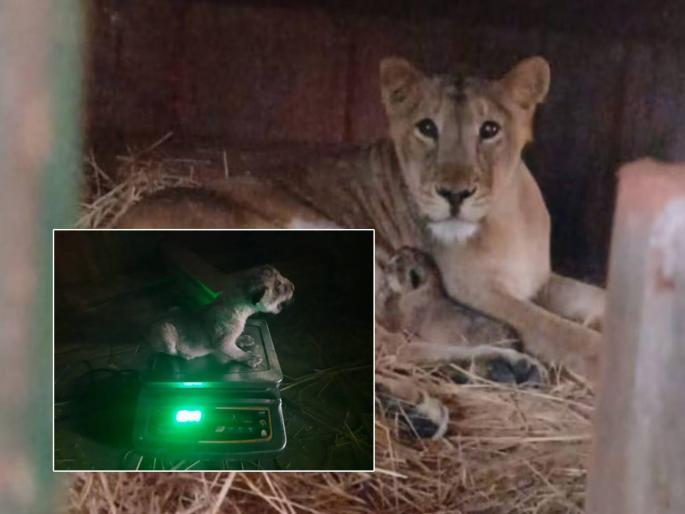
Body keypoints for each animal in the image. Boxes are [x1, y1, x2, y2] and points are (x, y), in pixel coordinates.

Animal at [118, 56, 605, 437]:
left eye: (490, 129)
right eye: (427, 128)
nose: (454, 194)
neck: (504, 216)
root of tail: (119, 218)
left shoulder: (541, 278)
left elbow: (590, 298)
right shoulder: (473, 290)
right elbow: (556, 329)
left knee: (395, 343)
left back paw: (497, 371)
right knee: (388, 345)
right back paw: (426, 405)